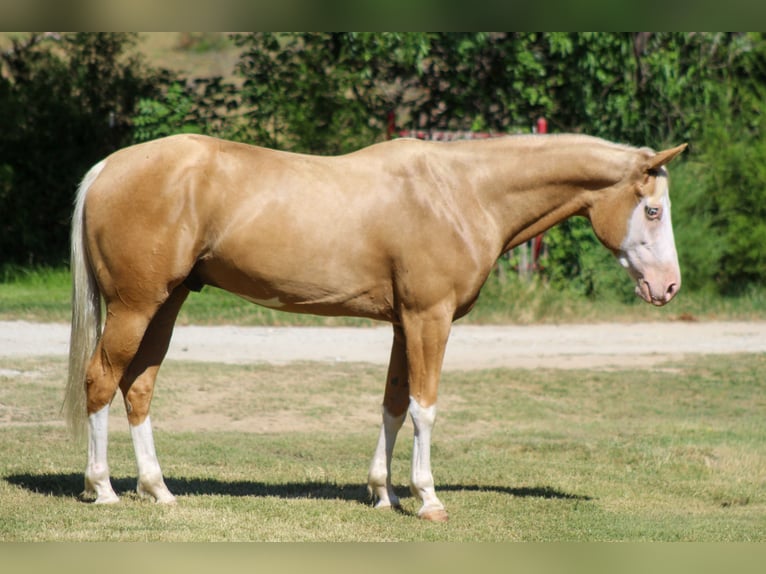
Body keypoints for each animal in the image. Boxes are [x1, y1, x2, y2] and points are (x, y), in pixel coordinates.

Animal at [63, 133, 685, 521]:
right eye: (653, 210)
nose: (669, 287)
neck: (461, 193)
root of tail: (107, 168)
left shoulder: (402, 324)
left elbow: (392, 403)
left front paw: (383, 494)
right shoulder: (429, 319)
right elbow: (424, 407)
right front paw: (427, 499)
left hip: (165, 305)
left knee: (138, 386)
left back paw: (157, 489)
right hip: (135, 306)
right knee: (101, 380)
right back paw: (103, 489)